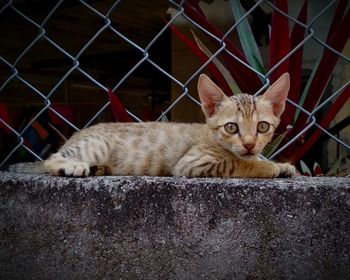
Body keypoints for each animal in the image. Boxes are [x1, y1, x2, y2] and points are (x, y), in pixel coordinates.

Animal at [8, 73, 296, 178]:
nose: (249, 144)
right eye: (231, 128)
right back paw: (73, 166)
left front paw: (280, 164)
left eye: (262, 127)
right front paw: (268, 166)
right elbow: (239, 163)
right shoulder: (192, 164)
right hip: (95, 146)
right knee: (50, 158)